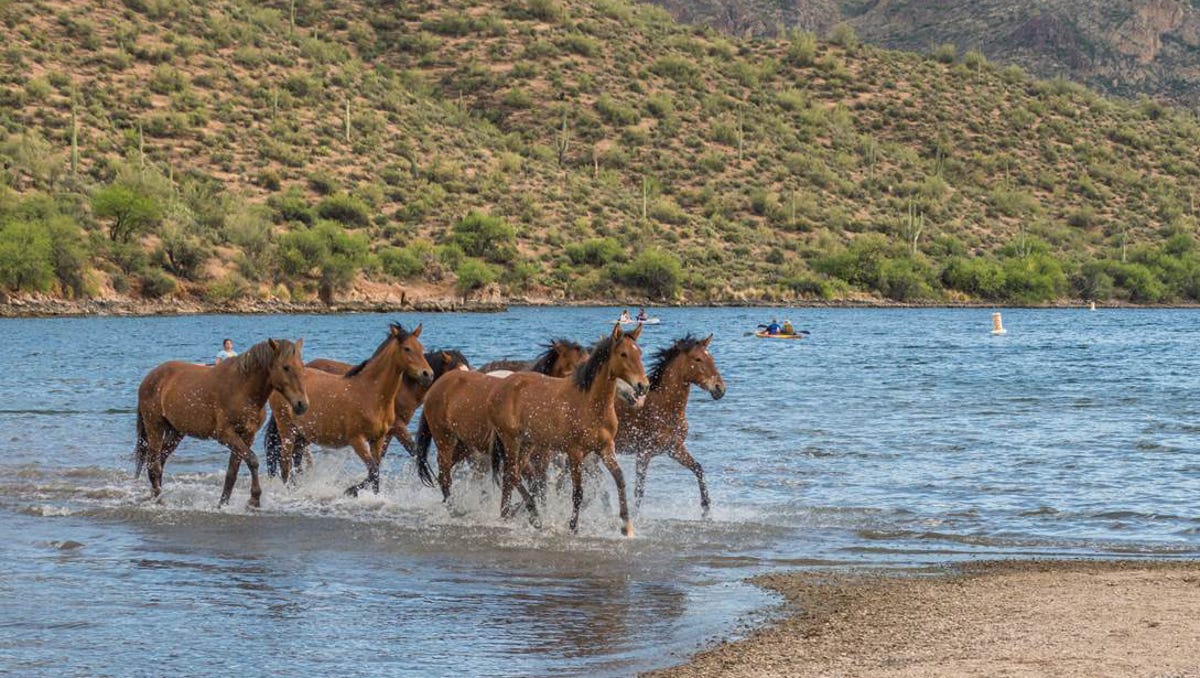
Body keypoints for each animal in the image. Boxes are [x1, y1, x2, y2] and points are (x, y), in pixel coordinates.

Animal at [134, 338, 309, 508]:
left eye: (302, 367)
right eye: (286, 367)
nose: (302, 404)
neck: (242, 388)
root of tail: (149, 378)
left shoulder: (247, 435)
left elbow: (233, 471)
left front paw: (223, 502)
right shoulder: (225, 435)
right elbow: (252, 461)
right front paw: (254, 499)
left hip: (176, 432)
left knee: (160, 460)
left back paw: (156, 494)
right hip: (155, 426)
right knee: (153, 464)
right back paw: (159, 499)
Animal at [264, 349, 470, 478]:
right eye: (454, 371)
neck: (401, 387)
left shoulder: (387, 432)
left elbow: (381, 456)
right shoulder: (396, 427)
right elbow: (413, 449)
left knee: (298, 453)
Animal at [268, 323, 433, 496]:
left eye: (421, 348)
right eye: (407, 348)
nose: (427, 374)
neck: (370, 392)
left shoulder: (377, 439)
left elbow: (376, 472)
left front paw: (372, 495)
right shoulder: (357, 440)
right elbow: (373, 471)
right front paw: (351, 490)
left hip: (303, 434)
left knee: (296, 462)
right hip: (286, 430)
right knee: (285, 464)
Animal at [488, 323, 649, 536]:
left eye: (639, 352)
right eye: (623, 354)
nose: (643, 387)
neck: (590, 404)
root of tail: (499, 388)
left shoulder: (605, 448)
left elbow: (620, 479)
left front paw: (626, 526)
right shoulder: (575, 452)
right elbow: (578, 492)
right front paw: (573, 527)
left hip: (528, 443)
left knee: (513, 475)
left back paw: (509, 515)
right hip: (511, 440)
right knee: (513, 474)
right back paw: (533, 517)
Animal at [615, 334, 725, 516]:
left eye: (712, 358)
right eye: (698, 359)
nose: (720, 389)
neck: (665, 408)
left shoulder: (674, 448)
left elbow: (698, 468)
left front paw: (706, 509)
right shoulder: (644, 452)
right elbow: (639, 490)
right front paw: (635, 517)